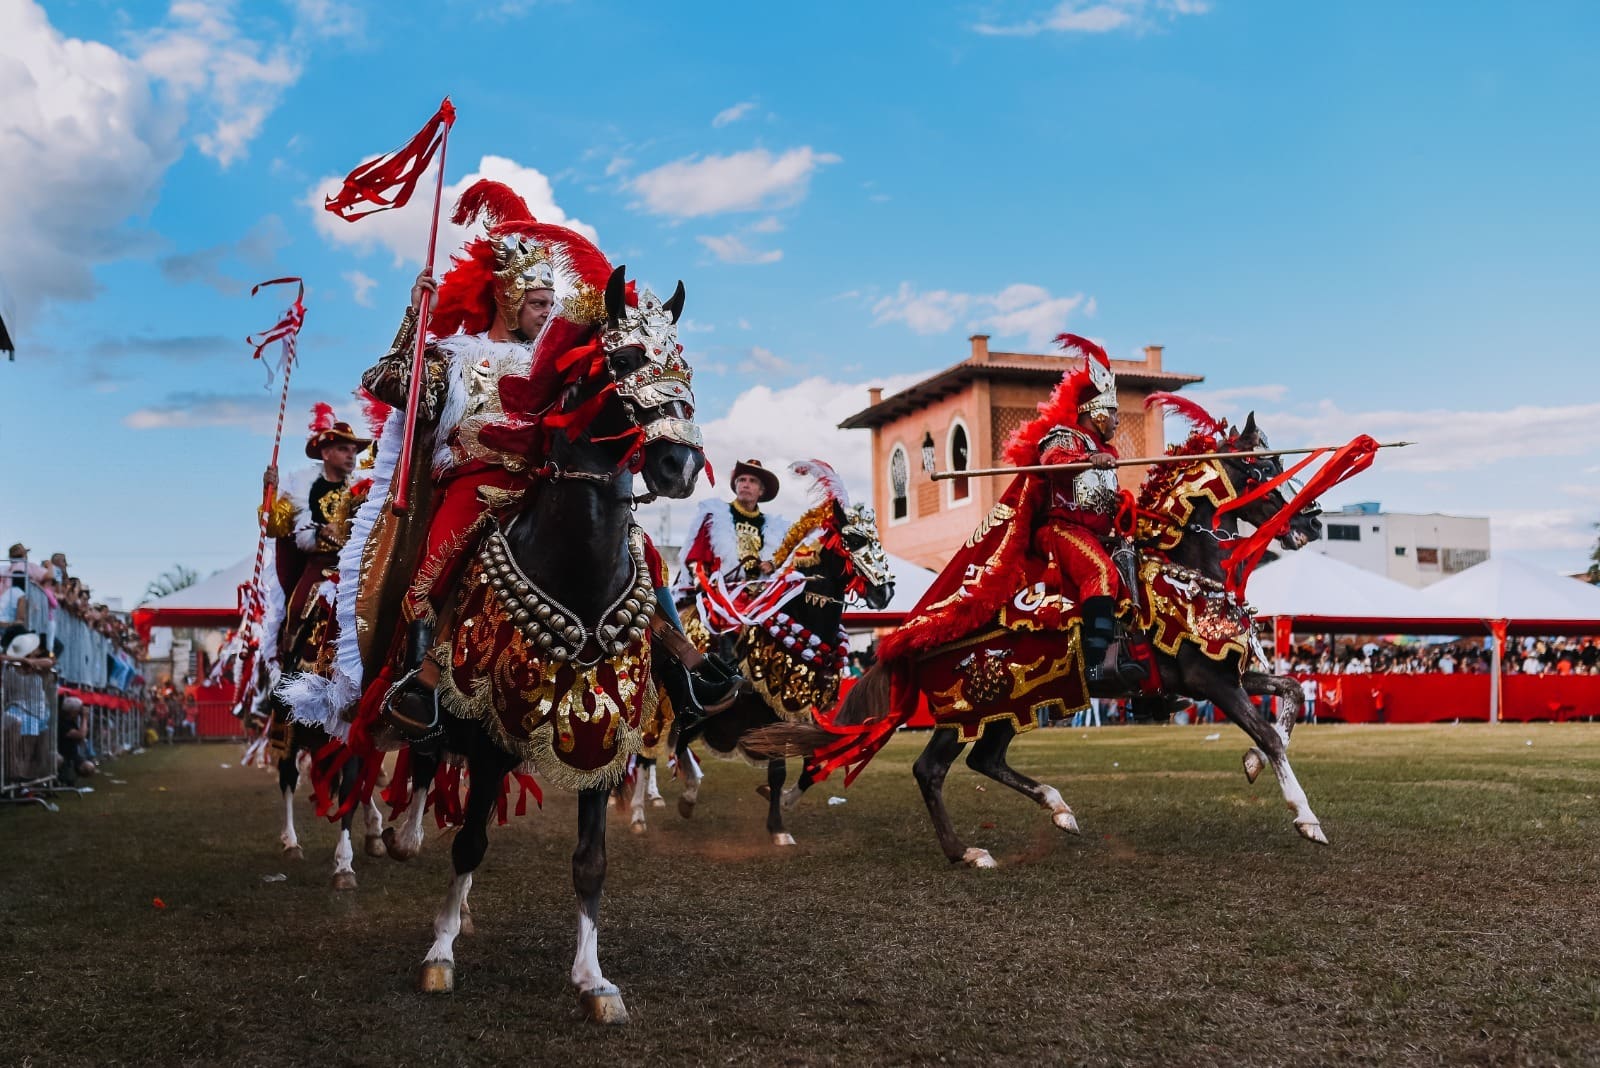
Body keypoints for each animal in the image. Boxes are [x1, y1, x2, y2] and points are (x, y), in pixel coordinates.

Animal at [660, 460, 895, 846]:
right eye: (854, 539)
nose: (885, 592)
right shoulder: (770, 711)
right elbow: (779, 769)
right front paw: (778, 828)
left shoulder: (801, 712)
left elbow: (811, 762)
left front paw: (783, 801)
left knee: (678, 743)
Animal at [752, 412, 1329, 868]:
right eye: (1264, 469)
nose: (1312, 522)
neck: (1186, 566)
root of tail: (912, 636)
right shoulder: (1210, 681)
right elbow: (1270, 735)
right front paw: (1306, 818)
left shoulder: (1220, 674)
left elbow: (1291, 695)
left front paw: (1252, 765)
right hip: (969, 707)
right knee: (930, 769)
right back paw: (966, 852)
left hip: (1017, 704)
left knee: (985, 761)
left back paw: (1058, 810)